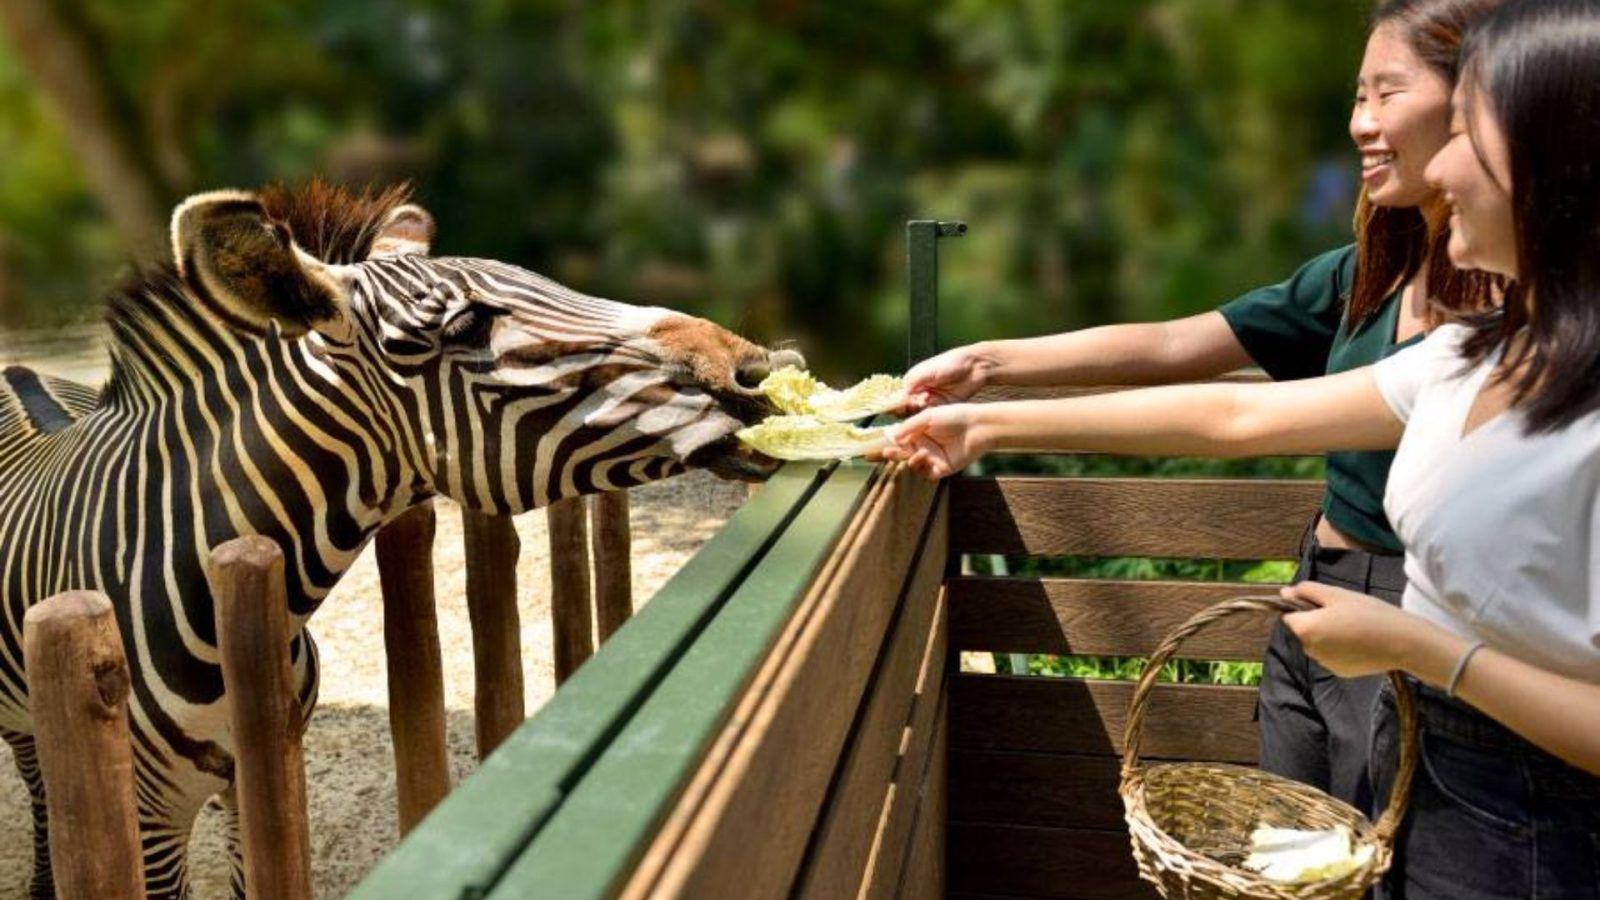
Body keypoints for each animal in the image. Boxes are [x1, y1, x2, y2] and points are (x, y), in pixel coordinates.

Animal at [0, 178, 800, 890]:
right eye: (466, 328)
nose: (759, 370)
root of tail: (18, 368)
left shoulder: (263, 773)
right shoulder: (146, 819)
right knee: (38, 776)